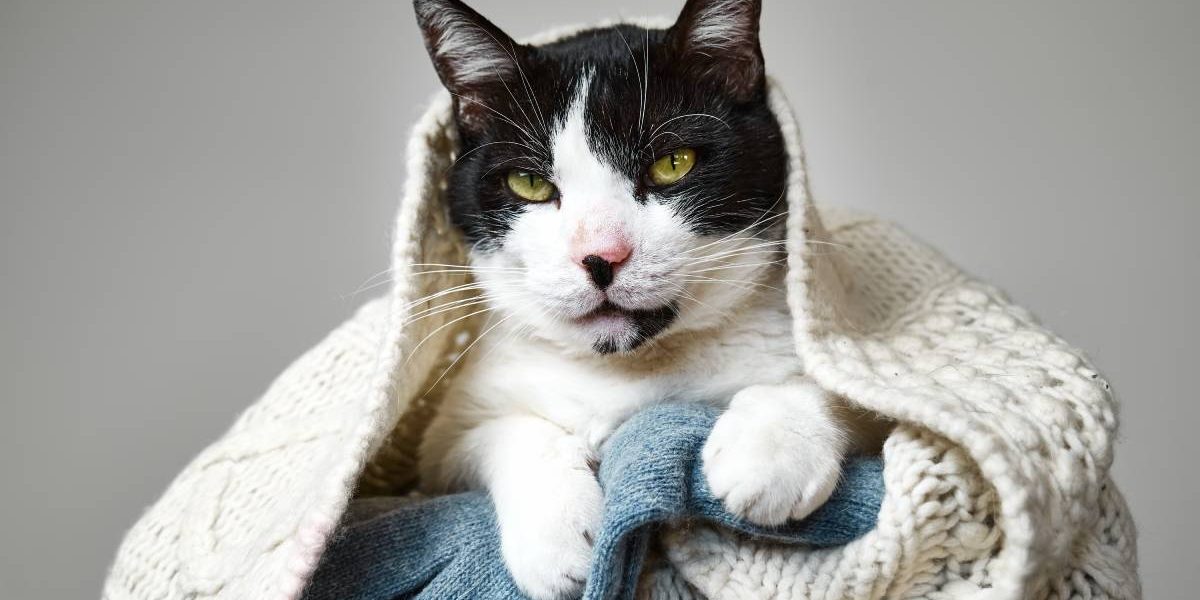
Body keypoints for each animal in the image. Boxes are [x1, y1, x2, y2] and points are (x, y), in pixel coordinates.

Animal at [408, 2, 878, 597]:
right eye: (528, 183)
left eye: (673, 163)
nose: (600, 255)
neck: (630, 370)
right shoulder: (438, 448)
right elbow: (498, 432)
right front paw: (557, 536)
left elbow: (853, 392)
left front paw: (772, 449)